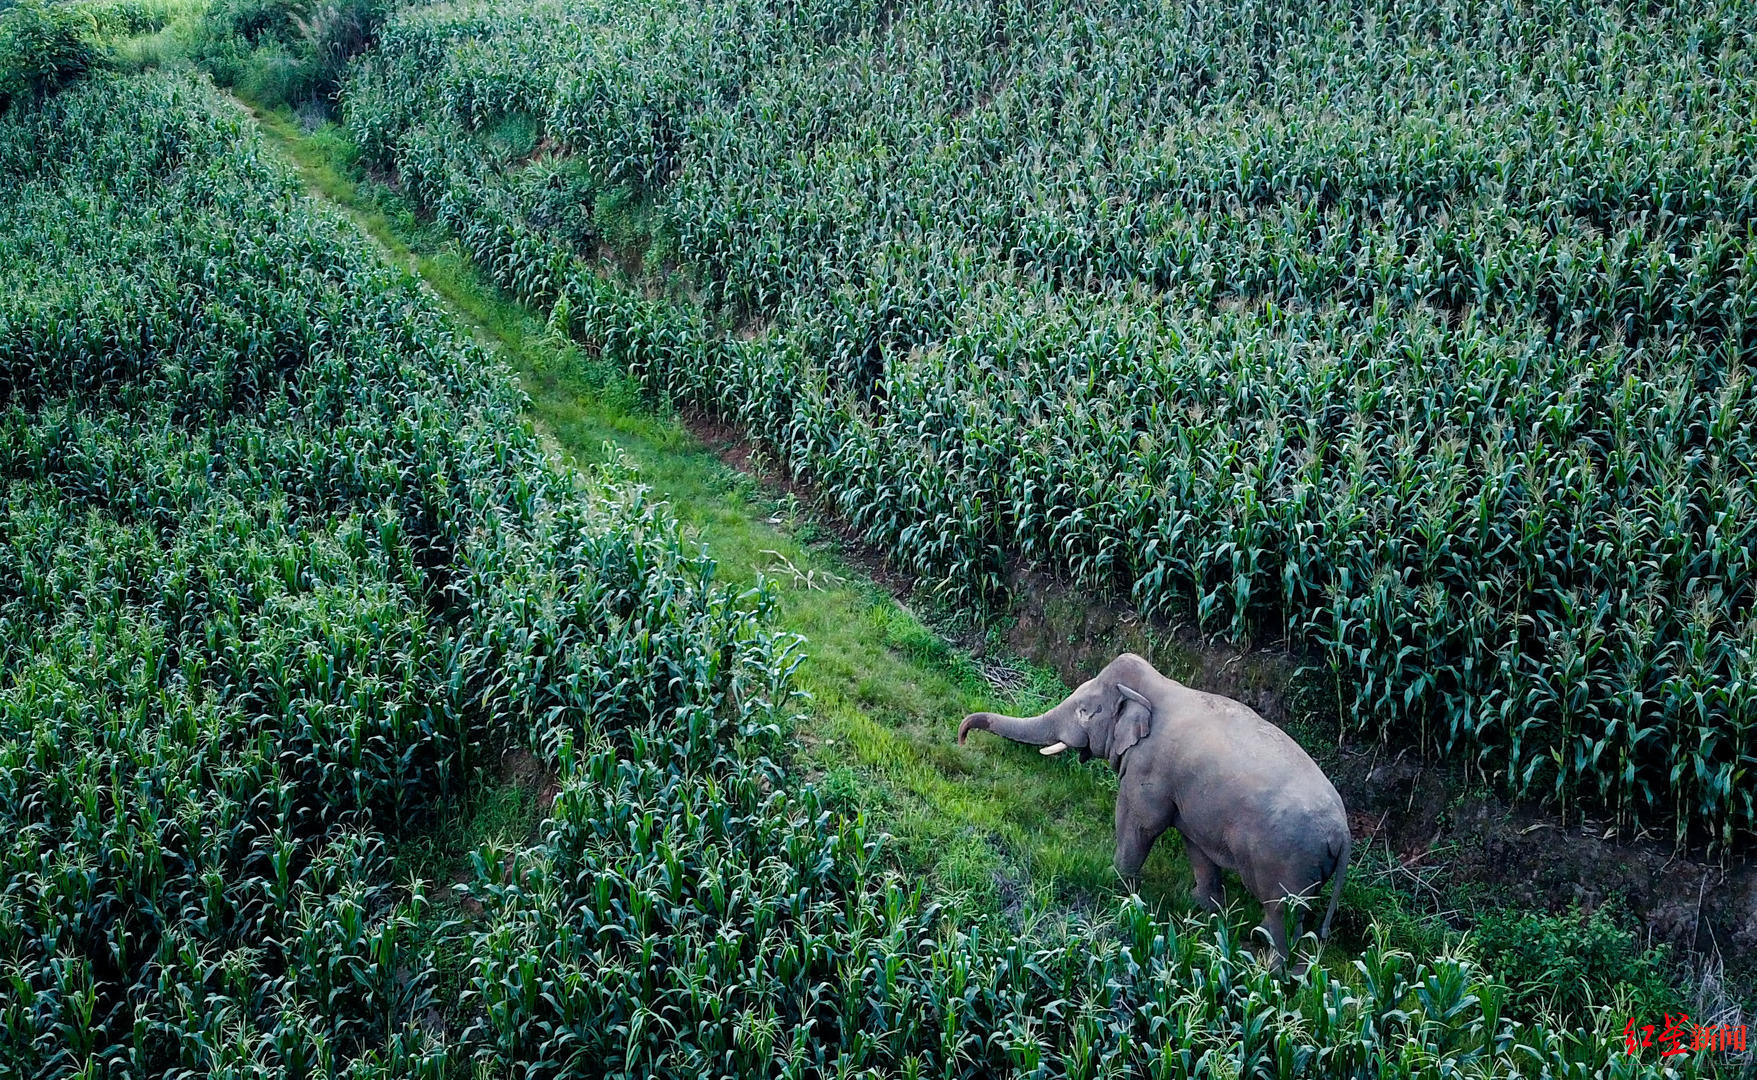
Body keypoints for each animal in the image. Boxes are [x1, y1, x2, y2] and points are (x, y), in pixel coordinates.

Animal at [962, 653, 1342, 969]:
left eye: (1085, 710)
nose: (963, 738)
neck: (1158, 687)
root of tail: (1343, 834)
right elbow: (1195, 845)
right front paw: (1200, 908)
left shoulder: (1149, 768)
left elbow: (1140, 822)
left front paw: (1117, 883)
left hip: (1289, 863)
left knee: (1282, 915)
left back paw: (1268, 968)